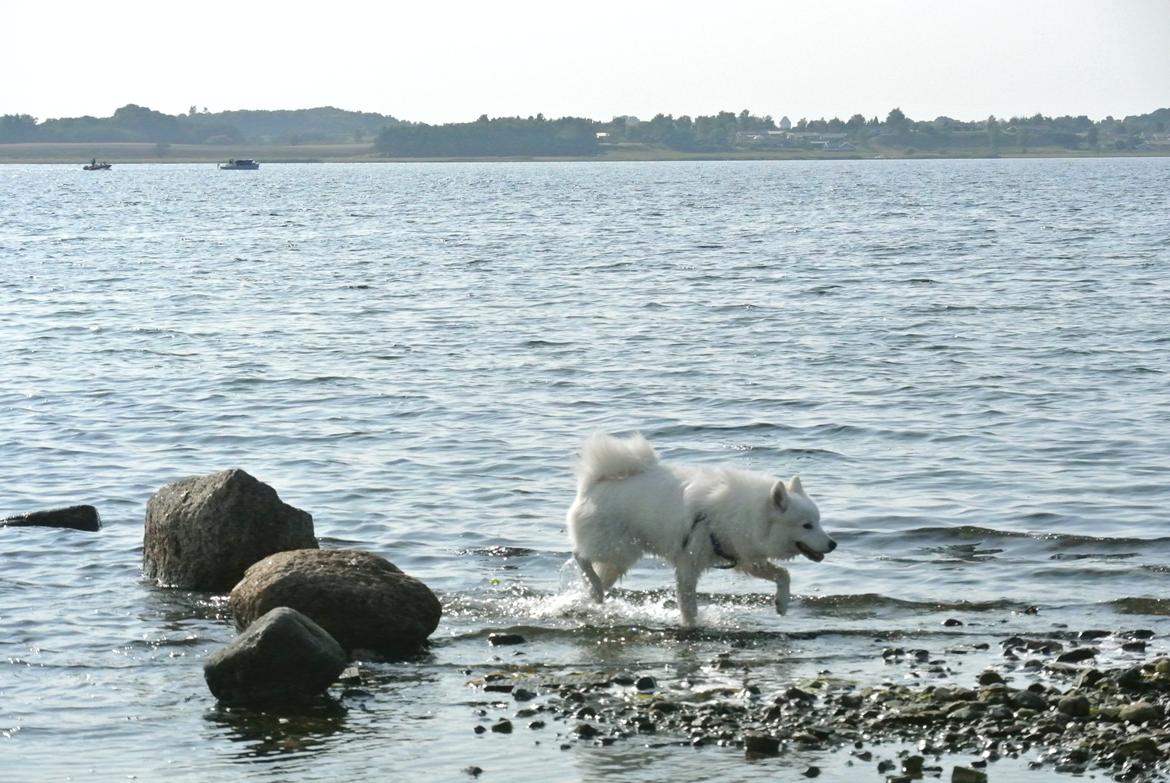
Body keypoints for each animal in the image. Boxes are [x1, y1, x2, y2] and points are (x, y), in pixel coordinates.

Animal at [563, 430, 833, 627]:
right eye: (807, 525)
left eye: (819, 522)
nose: (833, 544)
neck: (746, 514)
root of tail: (592, 484)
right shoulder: (688, 564)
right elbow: (688, 604)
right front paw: (691, 626)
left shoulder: (745, 558)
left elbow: (783, 574)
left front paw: (783, 603)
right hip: (618, 548)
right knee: (579, 555)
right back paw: (594, 587)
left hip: (620, 557)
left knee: (596, 574)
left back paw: (593, 594)